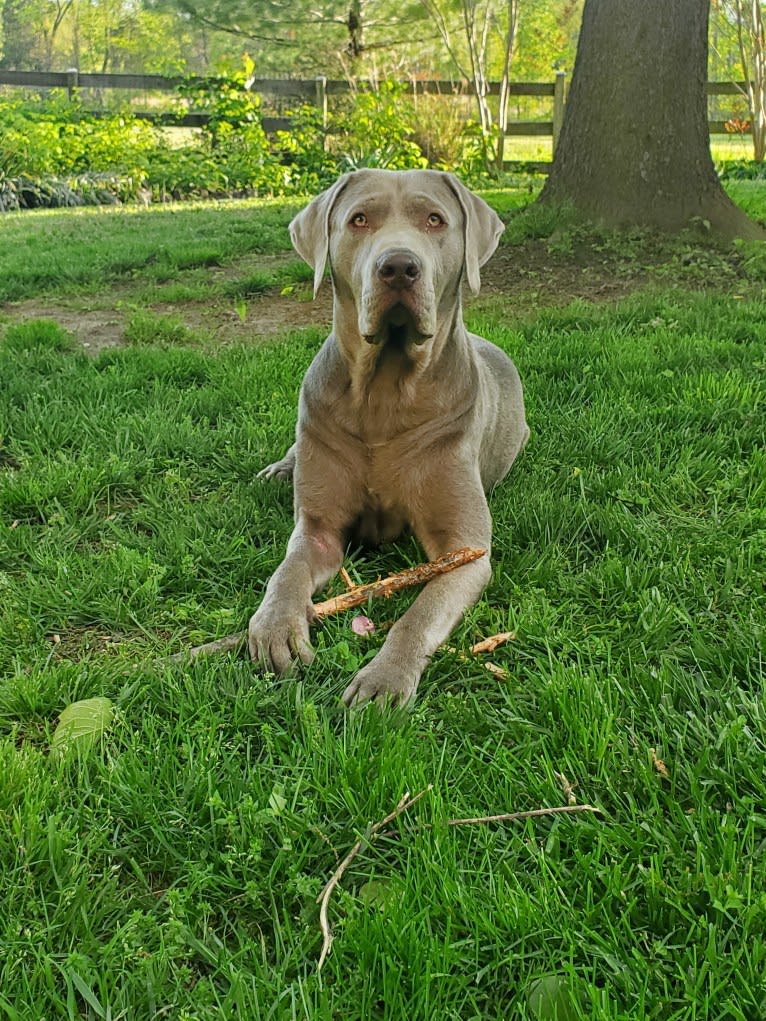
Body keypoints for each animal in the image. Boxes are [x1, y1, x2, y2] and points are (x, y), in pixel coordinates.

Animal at [249, 169, 531, 710]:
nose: (399, 266)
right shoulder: (317, 528)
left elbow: (419, 614)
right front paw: (275, 626)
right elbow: (288, 571)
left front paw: (385, 678)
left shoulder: (465, 552)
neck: (384, 396)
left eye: (435, 219)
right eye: (359, 219)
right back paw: (279, 469)